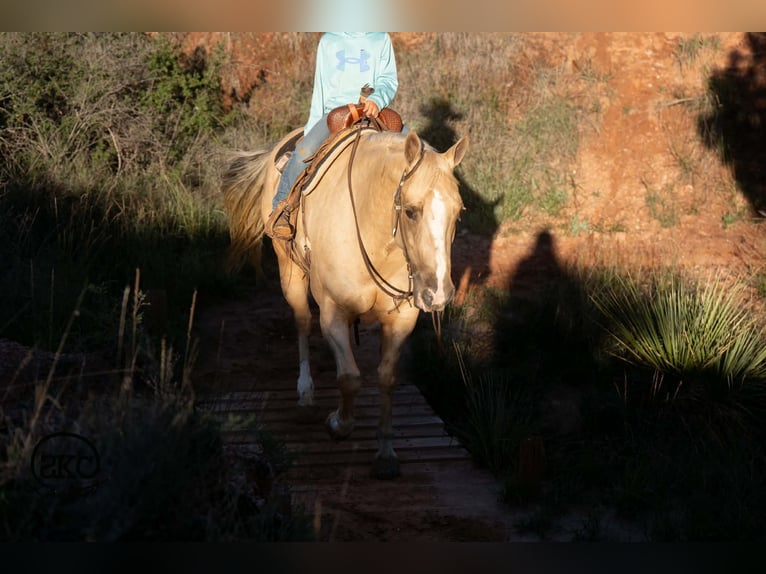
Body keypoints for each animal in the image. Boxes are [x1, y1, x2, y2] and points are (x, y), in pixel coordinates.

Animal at [222, 126, 468, 479]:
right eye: (410, 210)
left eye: (459, 212)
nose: (438, 295)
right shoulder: (332, 312)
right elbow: (350, 378)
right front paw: (338, 424)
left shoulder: (402, 319)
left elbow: (386, 378)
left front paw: (385, 452)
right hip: (290, 273)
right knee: (302, 323)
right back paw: (306, 395)